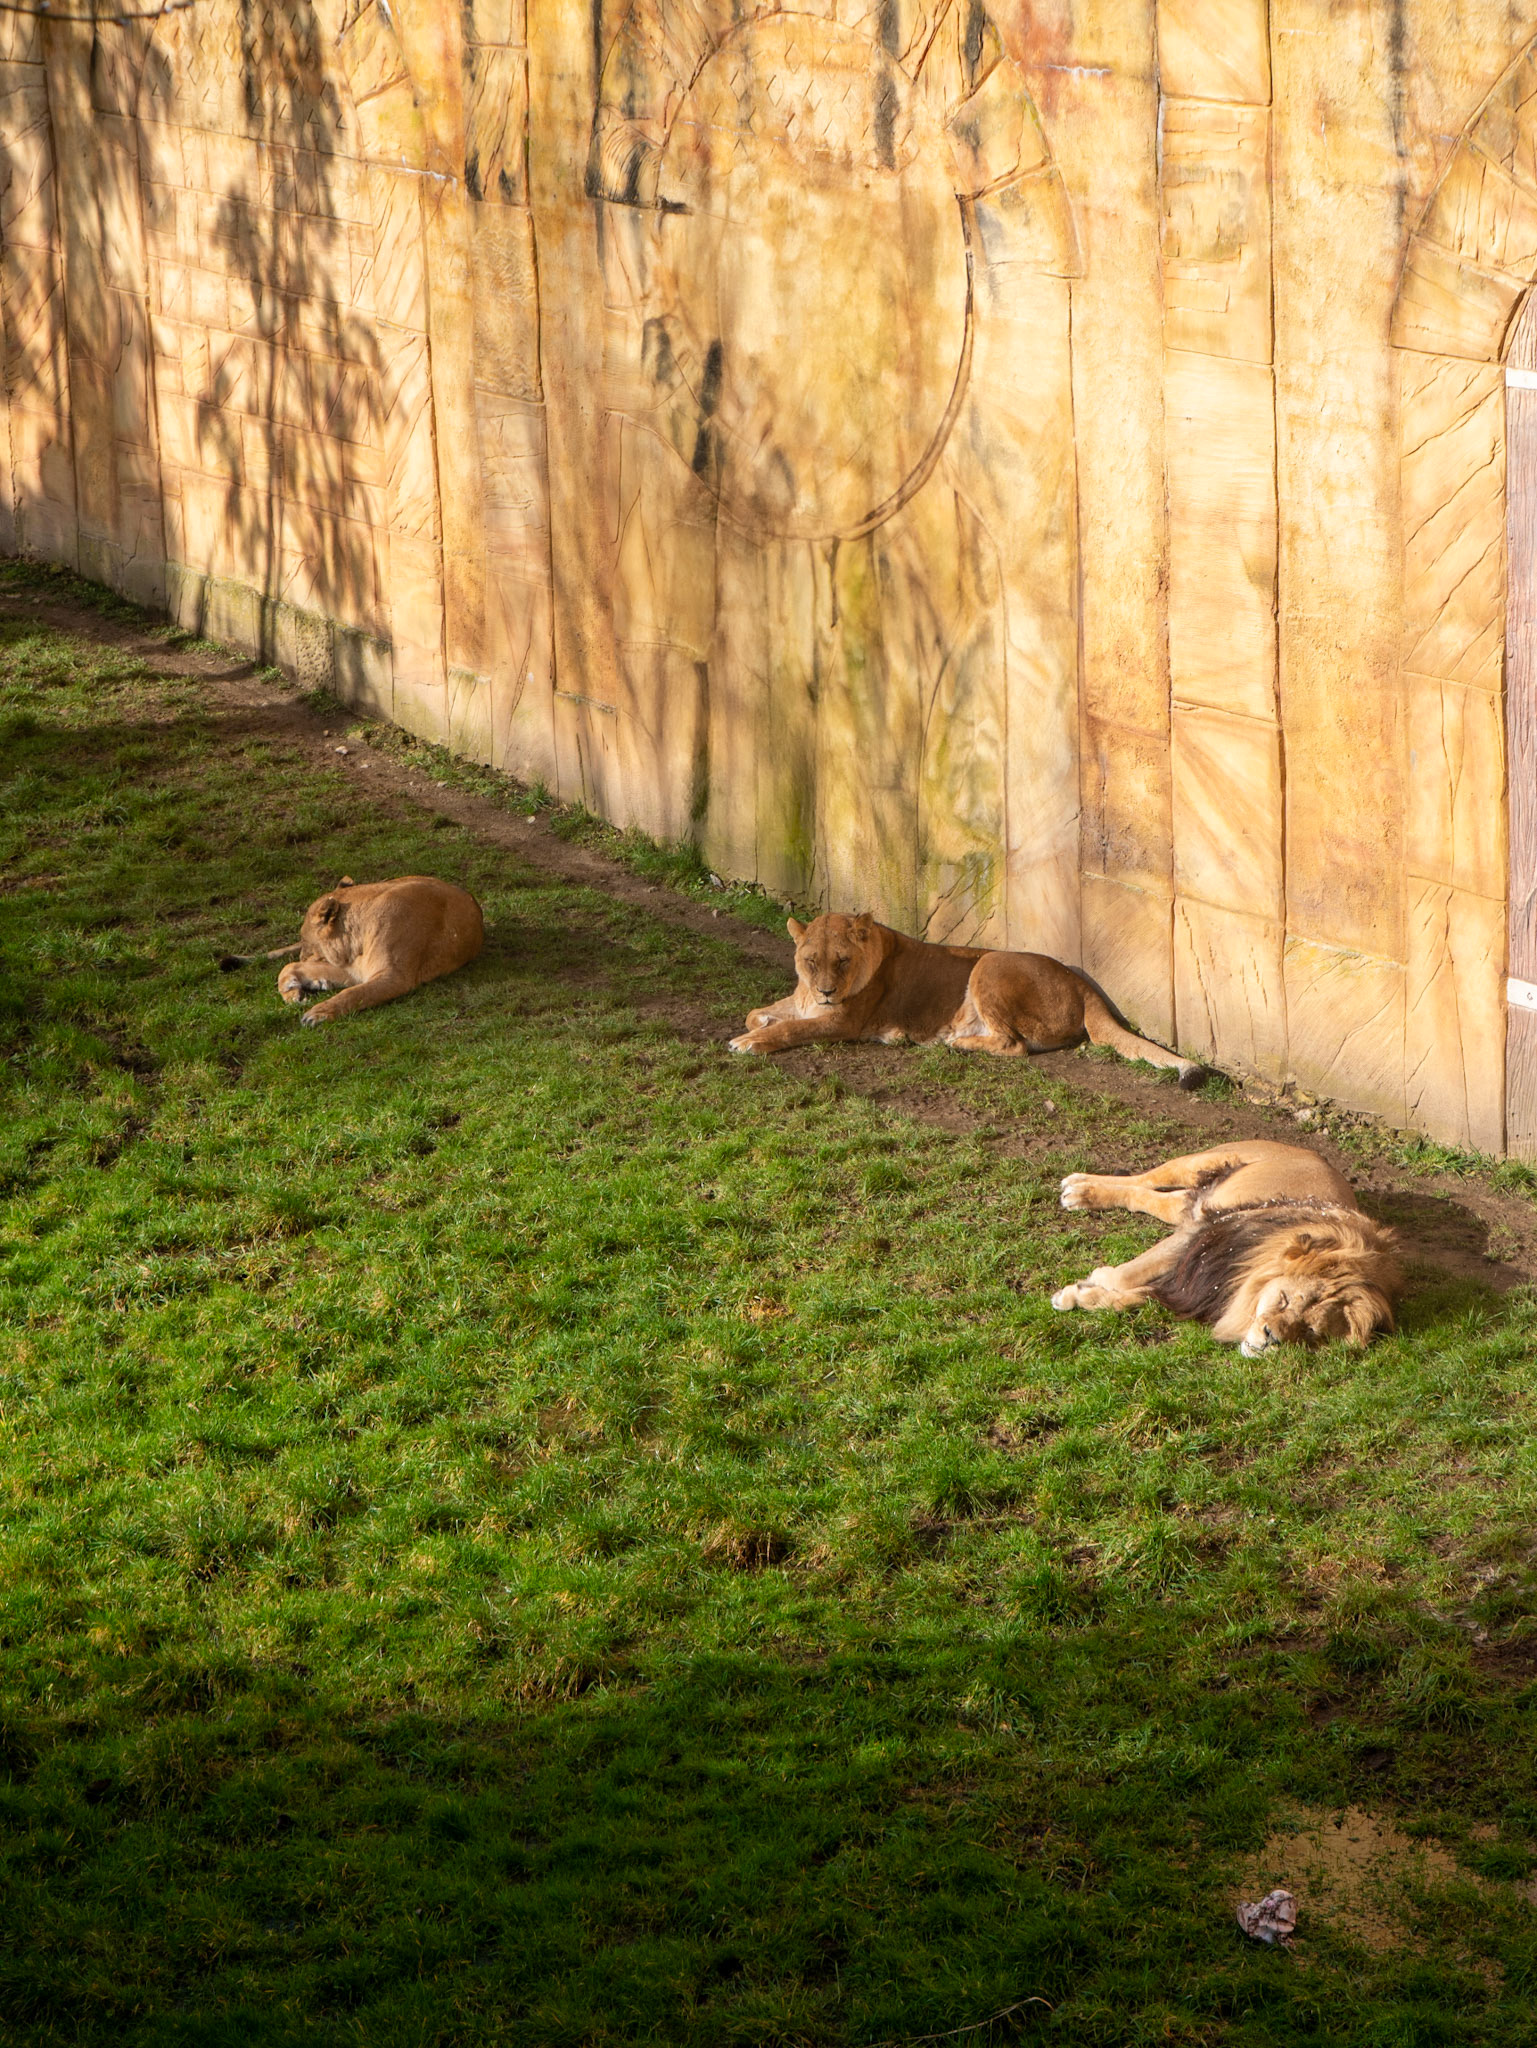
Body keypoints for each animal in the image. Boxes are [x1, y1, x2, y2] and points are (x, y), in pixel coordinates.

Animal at [220, 875, 483, 1025]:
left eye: (305, 940)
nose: (302, 952)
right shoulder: (357, 970)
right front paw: (297, 992)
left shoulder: (395, 976)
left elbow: (354, 994)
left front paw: (317, 1013)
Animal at [729, 911, 1203, 1083]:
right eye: (810, 961)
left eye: (842, 961)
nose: (826, 991)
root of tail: (1080, 980)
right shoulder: (805, 1003)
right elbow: (759, 1013)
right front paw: (757, 1025)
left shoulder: (843, 1021)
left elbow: (790, 1030)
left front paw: (748, 1043)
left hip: (987, 964)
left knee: (1013, 1045)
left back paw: (952, 1042)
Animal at [1050, 1140, 1402, 1354]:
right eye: (1285, 1300)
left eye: (1310, 1330)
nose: (1271, 1339)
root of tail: (1316, 1154)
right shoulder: (1203, 1232)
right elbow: (1128, 1275)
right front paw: (1092, 1282)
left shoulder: (1196, 1282)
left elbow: (1140, 1296)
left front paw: (1084, 1295)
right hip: (1202, 1162)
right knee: (1147, 1177)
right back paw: (1079, 1187)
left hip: (1195, 1201)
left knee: (1150, 1196)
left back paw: (1083, 1193)